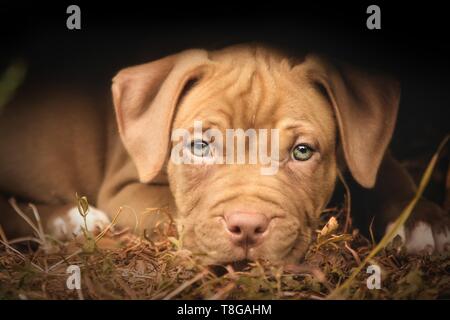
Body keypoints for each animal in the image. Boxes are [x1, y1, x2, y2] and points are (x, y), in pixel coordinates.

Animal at [0, 45, 448, 264]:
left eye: (302, 152)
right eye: (200, 146)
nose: (247, 227)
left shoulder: (363, 147)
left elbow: (384, 171)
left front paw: (423, 221)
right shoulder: (126, 188)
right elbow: (173, 208)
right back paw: (72, 221)